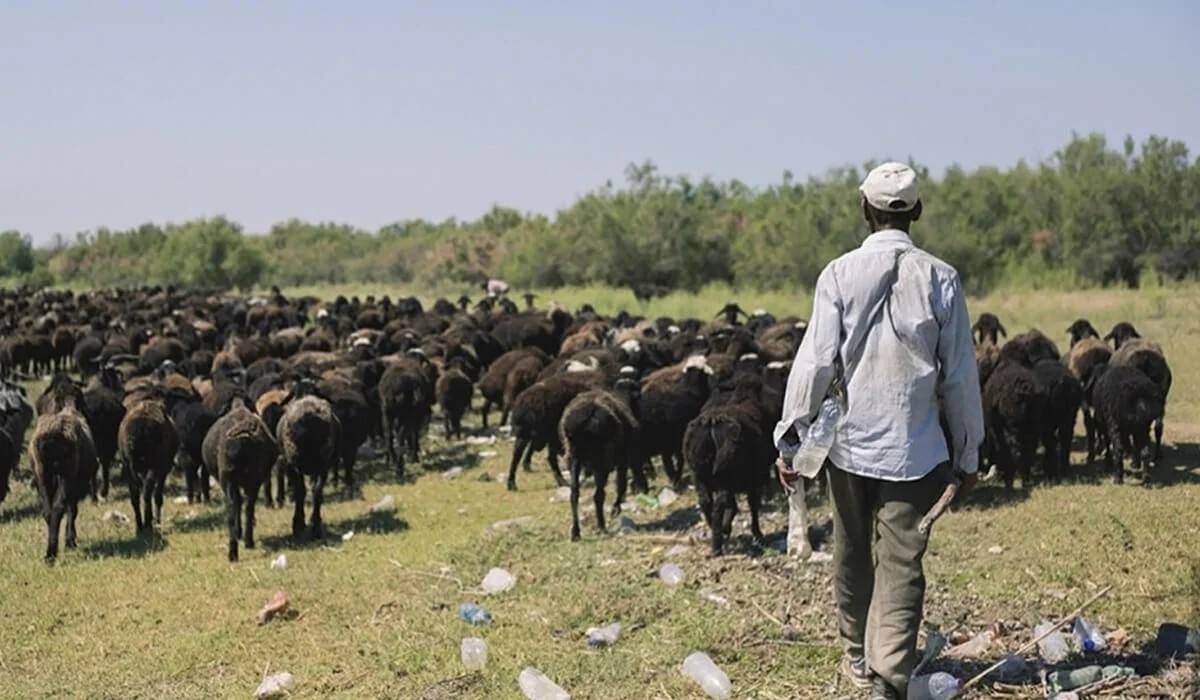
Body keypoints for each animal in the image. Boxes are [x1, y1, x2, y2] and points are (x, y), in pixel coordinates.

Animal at [117, 389, 180, 530]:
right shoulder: (163, 468)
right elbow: (156, 495)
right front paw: (155, 520)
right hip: (154, 465)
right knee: (147, 492)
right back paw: (148, 524)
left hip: (129, 465)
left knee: (135, 494)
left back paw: (140, 525)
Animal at [201, 393, 278, 564]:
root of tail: (243, 436)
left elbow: (238, 503)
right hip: (251, 478)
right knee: (247, 507)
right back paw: (244, 543)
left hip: (230, 478)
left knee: (233, 508)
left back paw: (235, 549)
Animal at [274, 381, 343, 540]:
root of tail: (309, 416)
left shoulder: (291, 463)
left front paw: (300, 522)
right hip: (323, 460)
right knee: (317, 491)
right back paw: (316, 527)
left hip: (294, 459)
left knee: (302, 490)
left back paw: (298, 524)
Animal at [556, 367, 643, 542]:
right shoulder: (623, 459)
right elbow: (621, 485)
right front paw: (616, 509)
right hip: (601, 459)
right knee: (598, 495)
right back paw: (601, 526)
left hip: (574, 457)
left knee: (574, 494)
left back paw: (575, 532)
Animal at [681, 372, 772, 559]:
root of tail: (712, 421)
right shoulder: (756, 478)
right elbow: (752, 505)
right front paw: (757, 534)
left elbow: (734, 505)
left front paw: (728, 528)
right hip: (725, 473)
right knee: (720, 503)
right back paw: (717, 543)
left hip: (699, 473)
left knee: (706, 501)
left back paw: (716, 533)